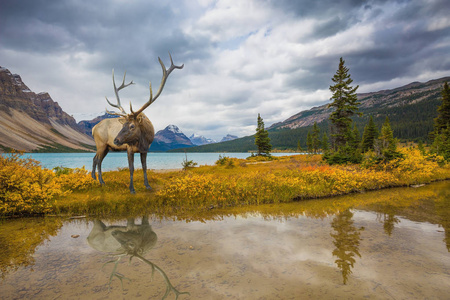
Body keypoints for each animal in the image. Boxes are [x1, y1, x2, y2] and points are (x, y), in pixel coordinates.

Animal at [91, 53, 183, 192]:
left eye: (132, 126)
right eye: (123, 125)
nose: (116, 140)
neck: (142, 139)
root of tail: (93, 128)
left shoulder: (145, 149)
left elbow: (145, 167)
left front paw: (147, 185)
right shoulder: (129, 148)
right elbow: (131, 168)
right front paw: (132, 189)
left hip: (107, 147)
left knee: (98, 159)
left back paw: (98, 180)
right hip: (100, 143)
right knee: (96, 159)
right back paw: (99, 180)